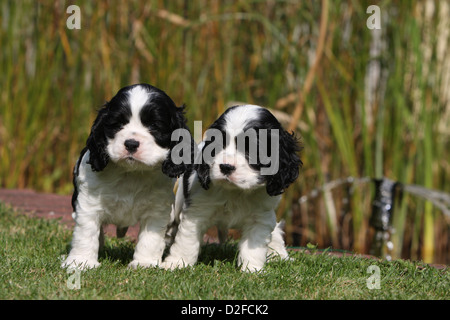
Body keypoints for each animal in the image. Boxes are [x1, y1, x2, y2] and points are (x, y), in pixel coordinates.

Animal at [61, 84, 192, 268]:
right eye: (118, 124)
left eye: (154, 125)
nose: (131, 144)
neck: (131, 173)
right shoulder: (89, 202)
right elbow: (86, 232)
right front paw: (81, 262)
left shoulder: (157, 208)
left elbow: (151, 238)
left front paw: (144, 263)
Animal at [163, 105, 302, 272]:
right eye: (217, 145)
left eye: (252, 149)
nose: (226, 167)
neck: (236, 192)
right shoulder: (196, 211)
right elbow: (187, 241)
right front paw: (177, 263)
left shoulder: (260, 217)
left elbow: (254, 246)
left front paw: (252, 270)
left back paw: (279, 255)